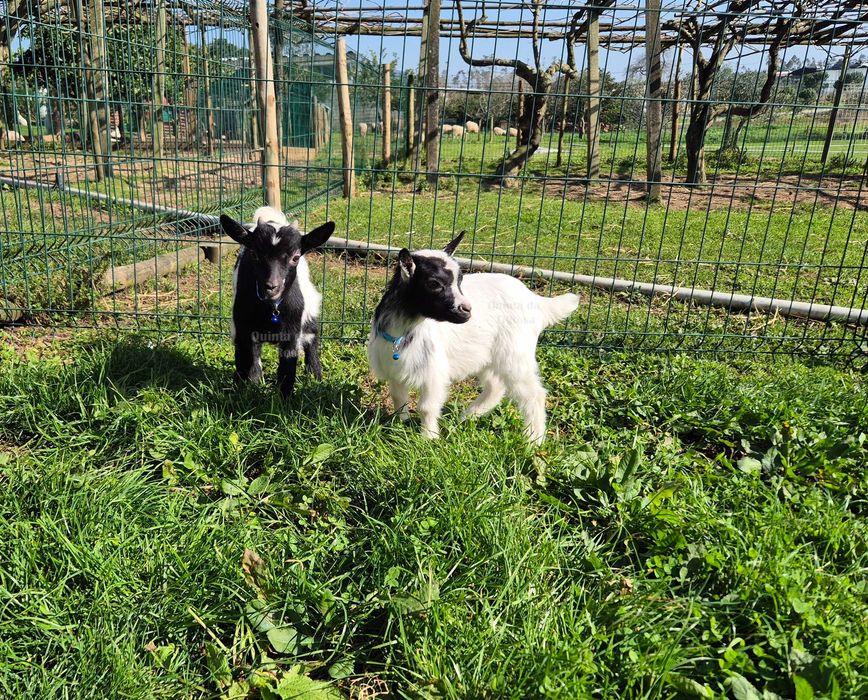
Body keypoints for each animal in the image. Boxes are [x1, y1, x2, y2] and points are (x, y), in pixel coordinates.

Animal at [220, 207, 336, 397]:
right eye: (254, 254)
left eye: (295, 257)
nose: (271, 287)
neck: (271, 309)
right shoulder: (243, 328)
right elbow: (246, 360)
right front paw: (245, 391)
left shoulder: (292, 331)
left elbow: (287, 368)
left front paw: (285, 400)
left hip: (310, 304)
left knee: (311, 333)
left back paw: (315, 374)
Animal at [367, 234, 579, 444]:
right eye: (434, 283)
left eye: (460, 280)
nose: (467, 310)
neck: (405, 329)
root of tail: (537, 301)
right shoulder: (394, 368)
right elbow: (398, 398)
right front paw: (399, 424)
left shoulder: (434, 372)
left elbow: (426, 407)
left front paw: (429, 438)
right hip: (485, 355)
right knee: (495, 386)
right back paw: (468, 416)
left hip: (515, 352)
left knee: (534, 394)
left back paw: (533, 440)